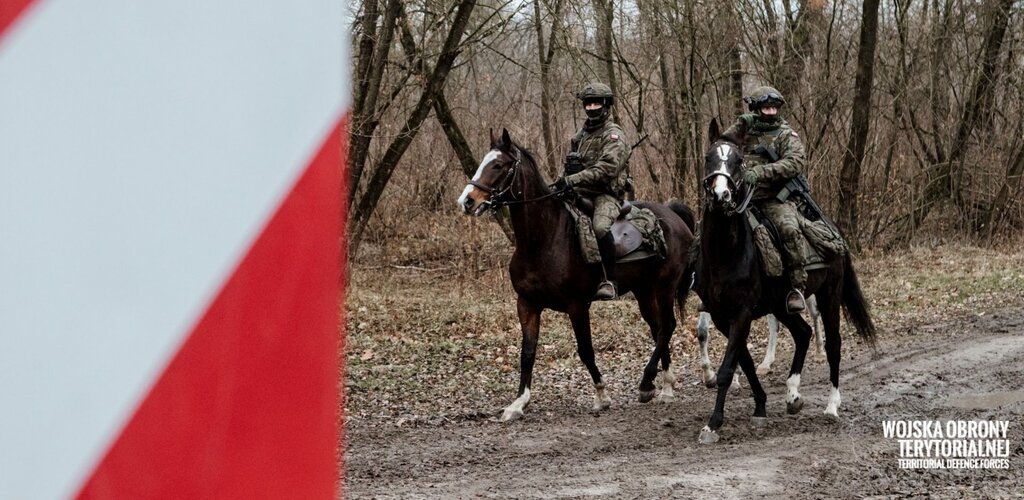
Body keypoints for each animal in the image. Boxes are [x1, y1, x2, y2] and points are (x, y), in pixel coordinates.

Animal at [462, 128, 696, 418]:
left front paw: (601, 396)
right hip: (644, 291)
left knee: (667, 326)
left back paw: (647, 382)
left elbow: (585, 350)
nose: (467, 201)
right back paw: (664, 385)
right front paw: (518, 403)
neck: (544, 238)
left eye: (498, 165)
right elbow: (527, 352)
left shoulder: (577, 306)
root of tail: (673, 216)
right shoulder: (527, 304)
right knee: (658, 328)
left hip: (664, 286)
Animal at [696, 119, 880, 442]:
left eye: (738, 161)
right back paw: (793, 394)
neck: (725, 253)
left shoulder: (742, 313)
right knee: (803, 333)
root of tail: (833, 230)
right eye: (709, 158)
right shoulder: (721, 316)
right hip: (781, 305)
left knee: (833, 344)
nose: (721, 196)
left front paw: (713, 423)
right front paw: (760, 407)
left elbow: (728, 367)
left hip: (829, 296)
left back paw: (832, 406)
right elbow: (744, 361)